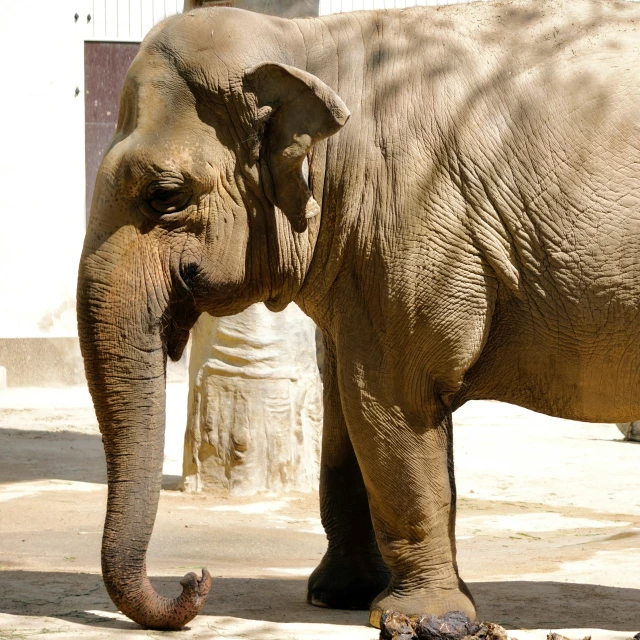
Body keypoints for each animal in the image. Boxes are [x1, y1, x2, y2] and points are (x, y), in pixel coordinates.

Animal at [77, 0, 640, 632]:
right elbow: (344, 406)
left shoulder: (412, 222)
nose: (194, 579)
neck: (309, 45)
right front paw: (338, 595)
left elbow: (389, 400)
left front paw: (429, 621)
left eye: (165, 196)